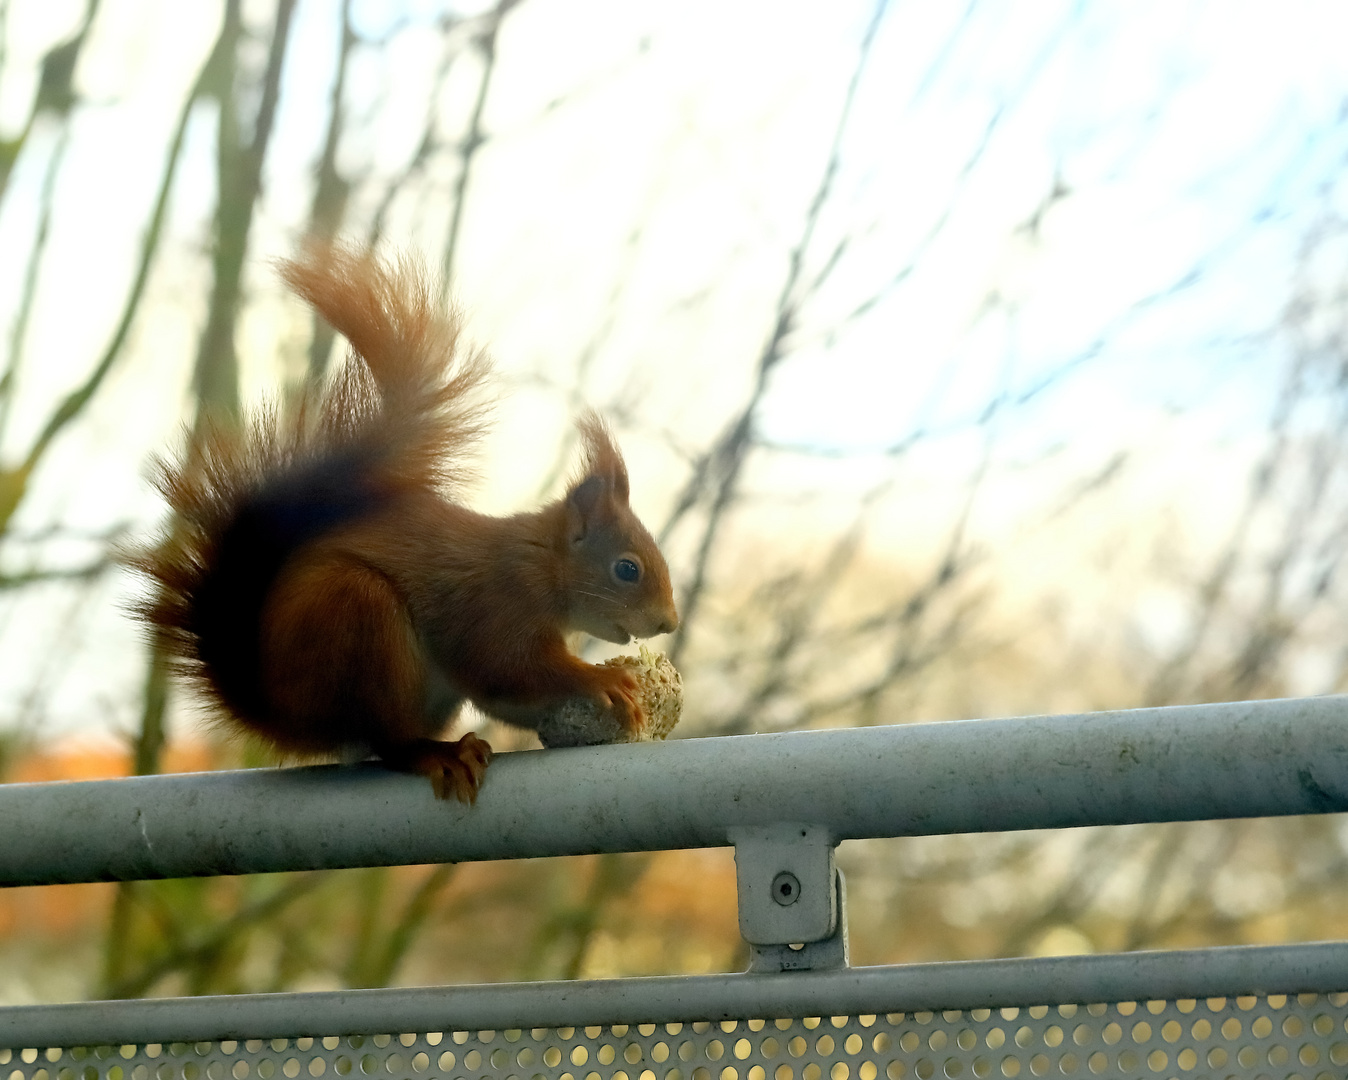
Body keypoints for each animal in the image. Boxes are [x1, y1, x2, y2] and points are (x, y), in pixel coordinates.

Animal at [135, 244, 679, 798]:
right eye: (627, 569)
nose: (669, 622)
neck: (542, 564)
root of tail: (282, 715)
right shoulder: (498, 601)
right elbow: (507, 664)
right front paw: (603, 681)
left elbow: (502, 690)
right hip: (357, 619)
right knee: (389, 740)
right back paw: (439, 754)